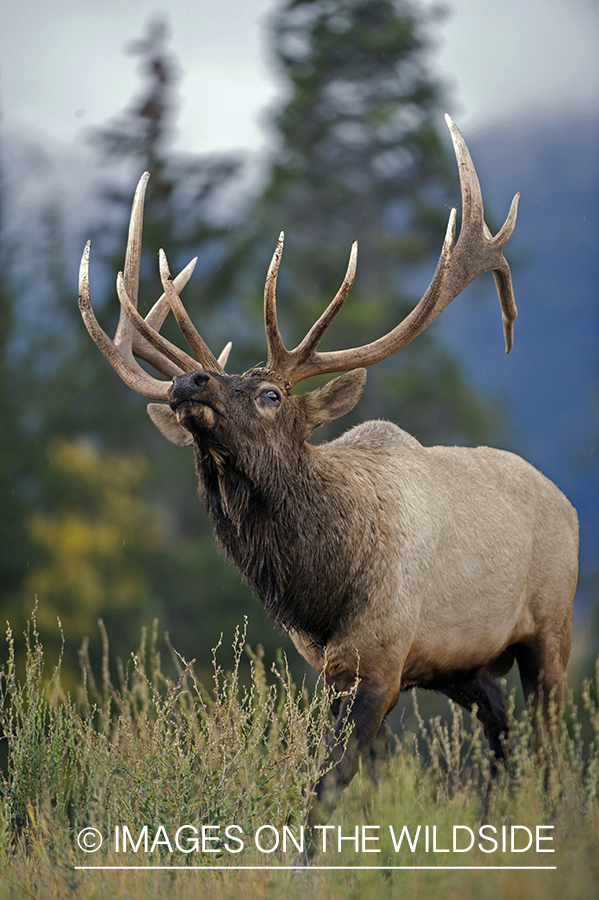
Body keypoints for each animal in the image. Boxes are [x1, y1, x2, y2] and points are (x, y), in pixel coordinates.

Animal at [78, 116, 576, 812]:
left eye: (271, 394)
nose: (186, 382)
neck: (320, 590)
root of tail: (569, 503)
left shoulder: (382, 660)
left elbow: (326, 788)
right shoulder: (336, 670)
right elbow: (361, 782)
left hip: (550, 628)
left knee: (548, 748)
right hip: (463, 662)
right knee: (500, 720)